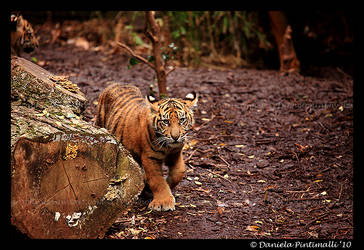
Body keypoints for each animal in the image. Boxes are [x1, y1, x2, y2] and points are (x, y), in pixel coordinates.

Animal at [95, 83, 198, 211]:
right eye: (165, 121)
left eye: (182, 120)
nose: (175, 137)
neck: (168, 147)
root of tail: (115, 83)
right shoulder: (150, 157)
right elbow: (157, 180)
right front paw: (163, 202)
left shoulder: (175, 153)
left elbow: (179, 172)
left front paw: (166, 184)